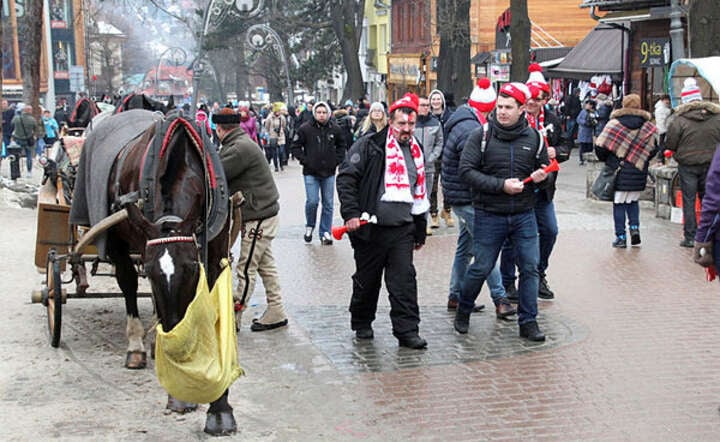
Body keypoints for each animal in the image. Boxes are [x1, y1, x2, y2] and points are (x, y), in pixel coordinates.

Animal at [70, 110, 233, 436]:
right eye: (149, 270)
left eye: (192, 268)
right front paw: (179, 387)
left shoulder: (214, 255)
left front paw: (219, 407)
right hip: (120, 241)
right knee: (129, 286)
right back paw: (138, 346)